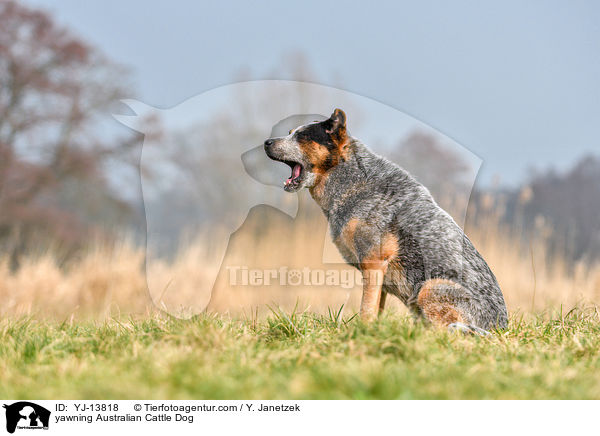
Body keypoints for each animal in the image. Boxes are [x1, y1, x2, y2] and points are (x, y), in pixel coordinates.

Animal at [264, 107, 508, 332]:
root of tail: (501, 327)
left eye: (302, 136)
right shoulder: (379, 276)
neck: (353, 180)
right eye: (290, 132)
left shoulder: (373, 262)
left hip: (429, 288)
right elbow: (376, 309)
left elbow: (366, 309)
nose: (266, 142)